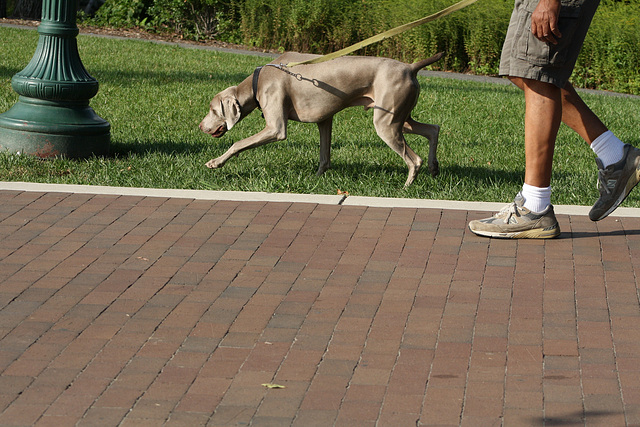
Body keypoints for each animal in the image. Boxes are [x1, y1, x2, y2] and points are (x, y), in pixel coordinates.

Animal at [202, 51, 442, 186]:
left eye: (213, 110)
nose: (200, 126)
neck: (257, 82)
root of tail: (409, 67)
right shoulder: (325, 120)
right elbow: (324, 155)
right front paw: (316, 178)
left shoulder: (275, 128)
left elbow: (238, 143)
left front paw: (215, 162)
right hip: (400, 117)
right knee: (433, 129)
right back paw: (434, 168)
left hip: (386, 122)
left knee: (414, 159)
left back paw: (406, 187)